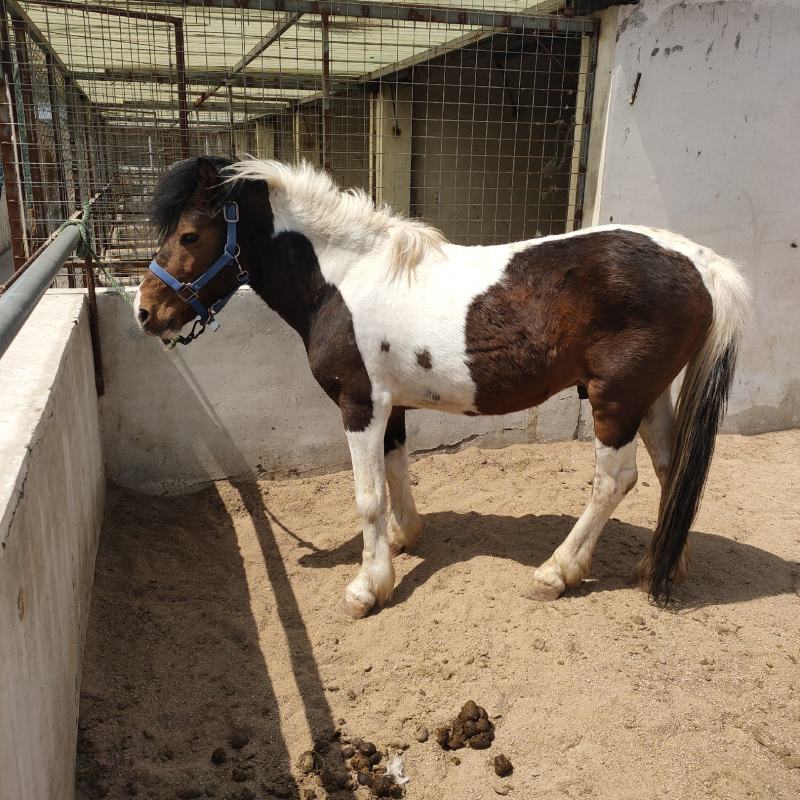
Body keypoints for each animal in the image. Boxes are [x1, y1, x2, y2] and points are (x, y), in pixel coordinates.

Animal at [134, 156, 749, 618]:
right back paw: (660, 565)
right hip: (651, 397)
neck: (346, 277)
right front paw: (404, 540)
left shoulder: (359, 404)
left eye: (190, 234)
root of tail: (703, 265)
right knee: (673, 468)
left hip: (615, 400)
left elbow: (367, 496)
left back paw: (556, 573)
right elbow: (395, 471)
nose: (144, 312)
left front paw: (367, 588)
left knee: (615, 481)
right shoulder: (391, 406)